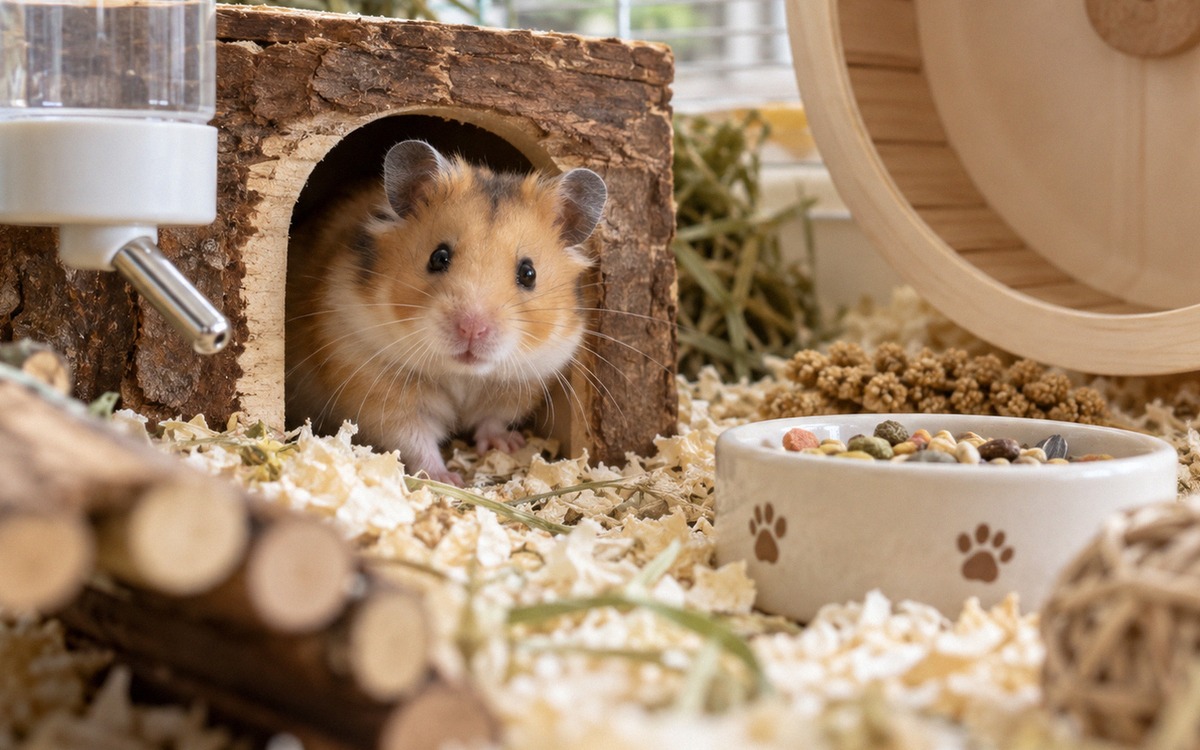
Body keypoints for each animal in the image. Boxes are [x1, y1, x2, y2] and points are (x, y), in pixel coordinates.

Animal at [286, 139, 607, 485]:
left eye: (528, 273)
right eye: (438, 257)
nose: (471, 329)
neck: (462, 374)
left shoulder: (524, 379)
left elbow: (492, 419)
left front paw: (508, 446)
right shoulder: (375, 387)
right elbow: (414, 439)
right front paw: (449, 480)